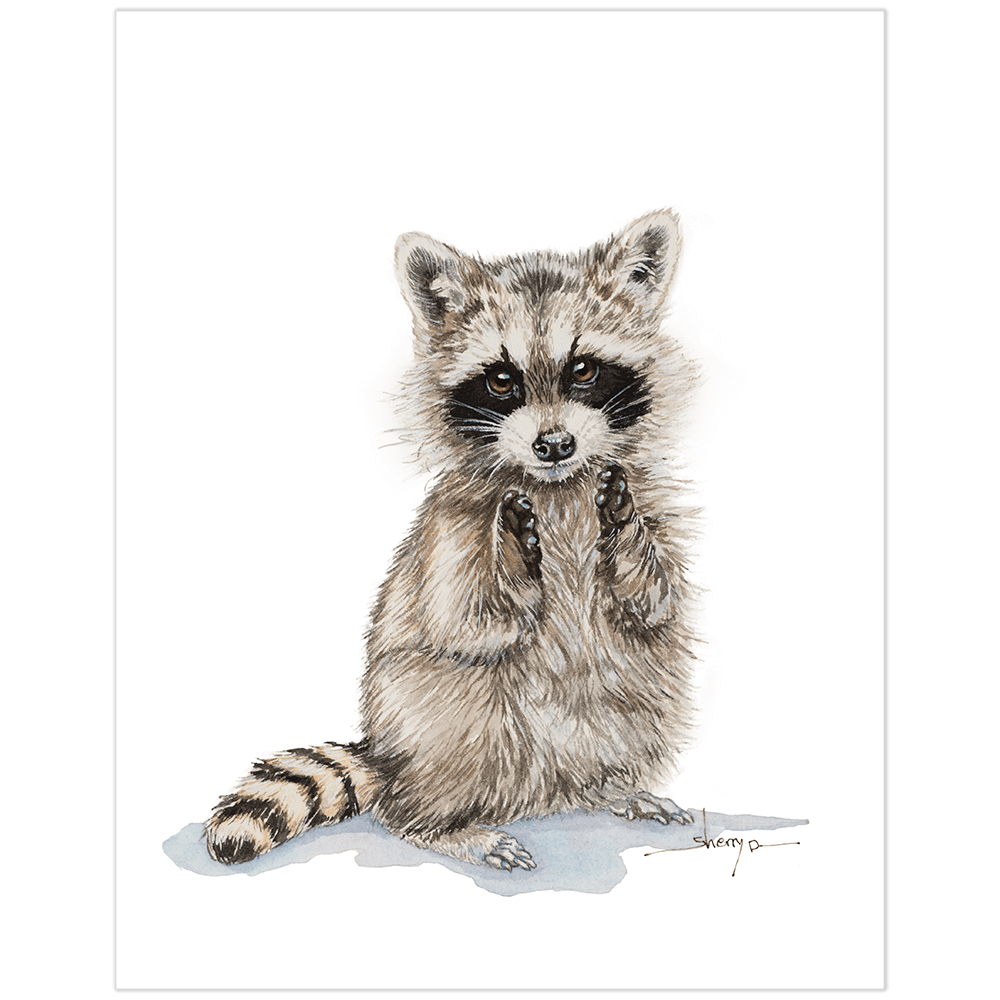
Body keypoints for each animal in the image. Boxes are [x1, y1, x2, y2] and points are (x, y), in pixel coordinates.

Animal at [205, 210, 698, 871]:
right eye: (502, 380)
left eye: (584, 369)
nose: (554, 445)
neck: (555, 487)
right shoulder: (453, 528)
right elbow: (466, 622)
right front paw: (513, 563)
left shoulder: (647, 496)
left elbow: (654, 602)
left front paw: (626, 536)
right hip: (430, 716)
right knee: (453, 712)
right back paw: (439, 824)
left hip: (627, 704)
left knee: (635, 689)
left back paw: (607, 785)